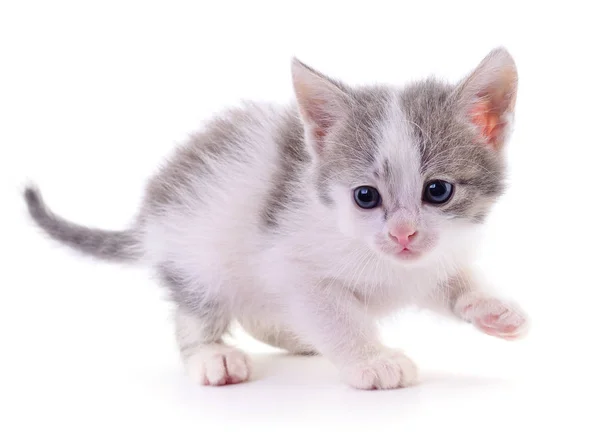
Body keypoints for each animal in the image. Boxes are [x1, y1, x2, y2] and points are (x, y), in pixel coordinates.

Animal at [23, 46, 528, 390]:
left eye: (438, 191)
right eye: (365, 197)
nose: (403, 234)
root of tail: (149, 214)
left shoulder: (427, 259)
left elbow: (450, 281)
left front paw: (490, 307)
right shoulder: (292, 264)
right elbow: (336, 315)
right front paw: (371, 359)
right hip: (198, 251)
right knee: (196, 311)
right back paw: (211, 355)